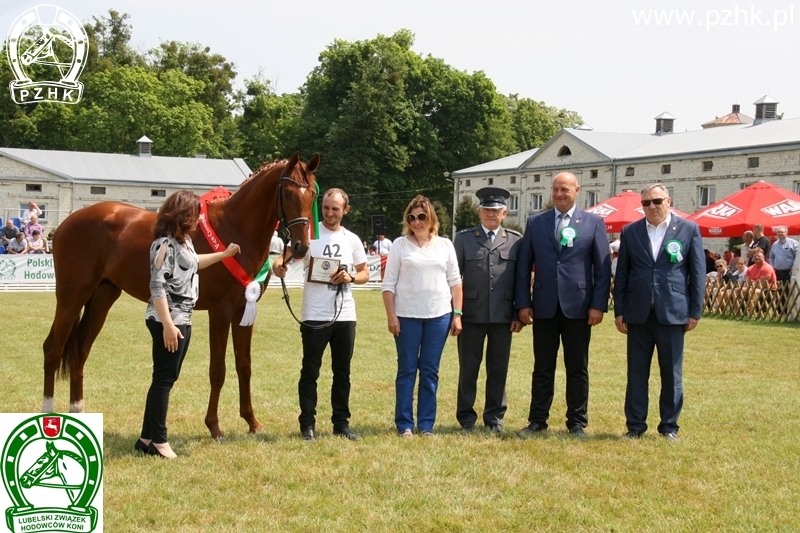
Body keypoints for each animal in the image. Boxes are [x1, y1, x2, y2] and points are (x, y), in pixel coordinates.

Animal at [43, 152, 318, 438]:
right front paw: (214, 426)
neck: (234, 226)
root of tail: (64, 225)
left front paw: (252, 423)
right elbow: (218, 370)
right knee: (52, 349)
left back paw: (78, 412)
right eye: (287, 193)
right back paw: (48, 413)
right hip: (71, 298)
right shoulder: (220, 311)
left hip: (102, 298)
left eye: (312, 194)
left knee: (80, 353)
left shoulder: (245, 310)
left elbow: (244, 366)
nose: (301, 247)